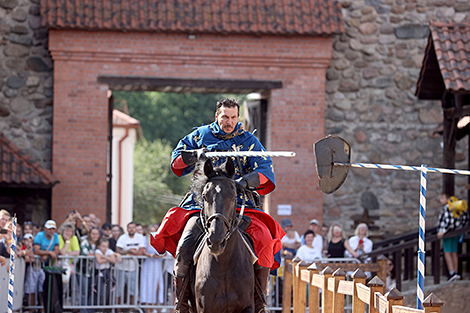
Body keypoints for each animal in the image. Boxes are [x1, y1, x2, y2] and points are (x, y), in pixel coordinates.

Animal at [189, 158, 253, 312]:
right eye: (205, 196)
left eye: (234, 196)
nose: (216, 241)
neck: (224, 262)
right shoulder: (205, 308)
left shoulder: (248, 306)